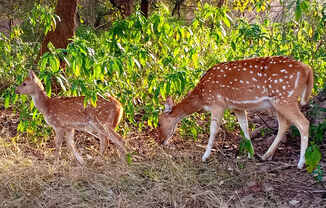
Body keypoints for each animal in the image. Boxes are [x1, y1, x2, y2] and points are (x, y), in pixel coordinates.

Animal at [158, 56, 314, 168]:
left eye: (159, 123)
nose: (161, 141)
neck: (202, 97)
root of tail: (307, 69)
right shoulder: (237, 107)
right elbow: (244, 127)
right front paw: (251, 154)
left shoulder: (218, 104)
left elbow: (213, 130)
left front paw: (205, 156)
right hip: (278, 103)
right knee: (284, 125)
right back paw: (265, 155)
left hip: (285, 98)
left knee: (303, 123)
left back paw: (301, 163)